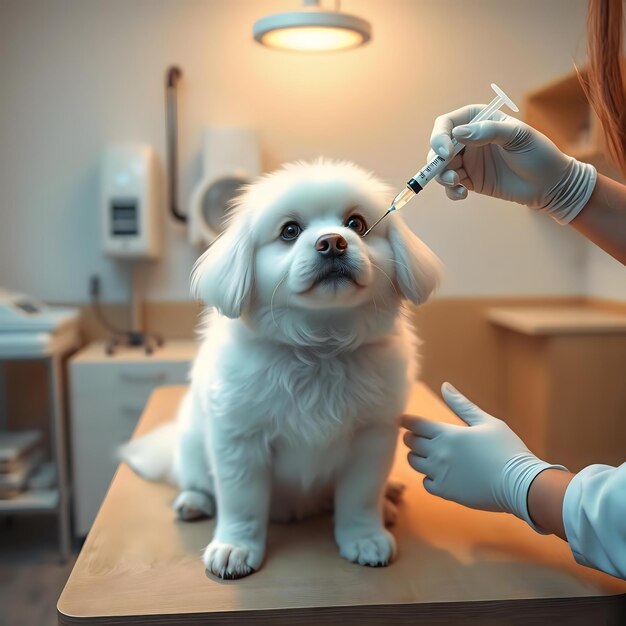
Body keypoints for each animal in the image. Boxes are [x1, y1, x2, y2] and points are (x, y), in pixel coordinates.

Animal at [120, 158, 438, 576]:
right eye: (290, 231)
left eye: (356, 224)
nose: (333, 242)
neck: (320, 350)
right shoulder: (240, 441)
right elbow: (242, 504)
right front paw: (235, 547)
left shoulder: (371, 439)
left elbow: (360, 499)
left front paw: (364, 537)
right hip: (191, 445)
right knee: (195, 479)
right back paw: (194, 501)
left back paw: (389, 497)